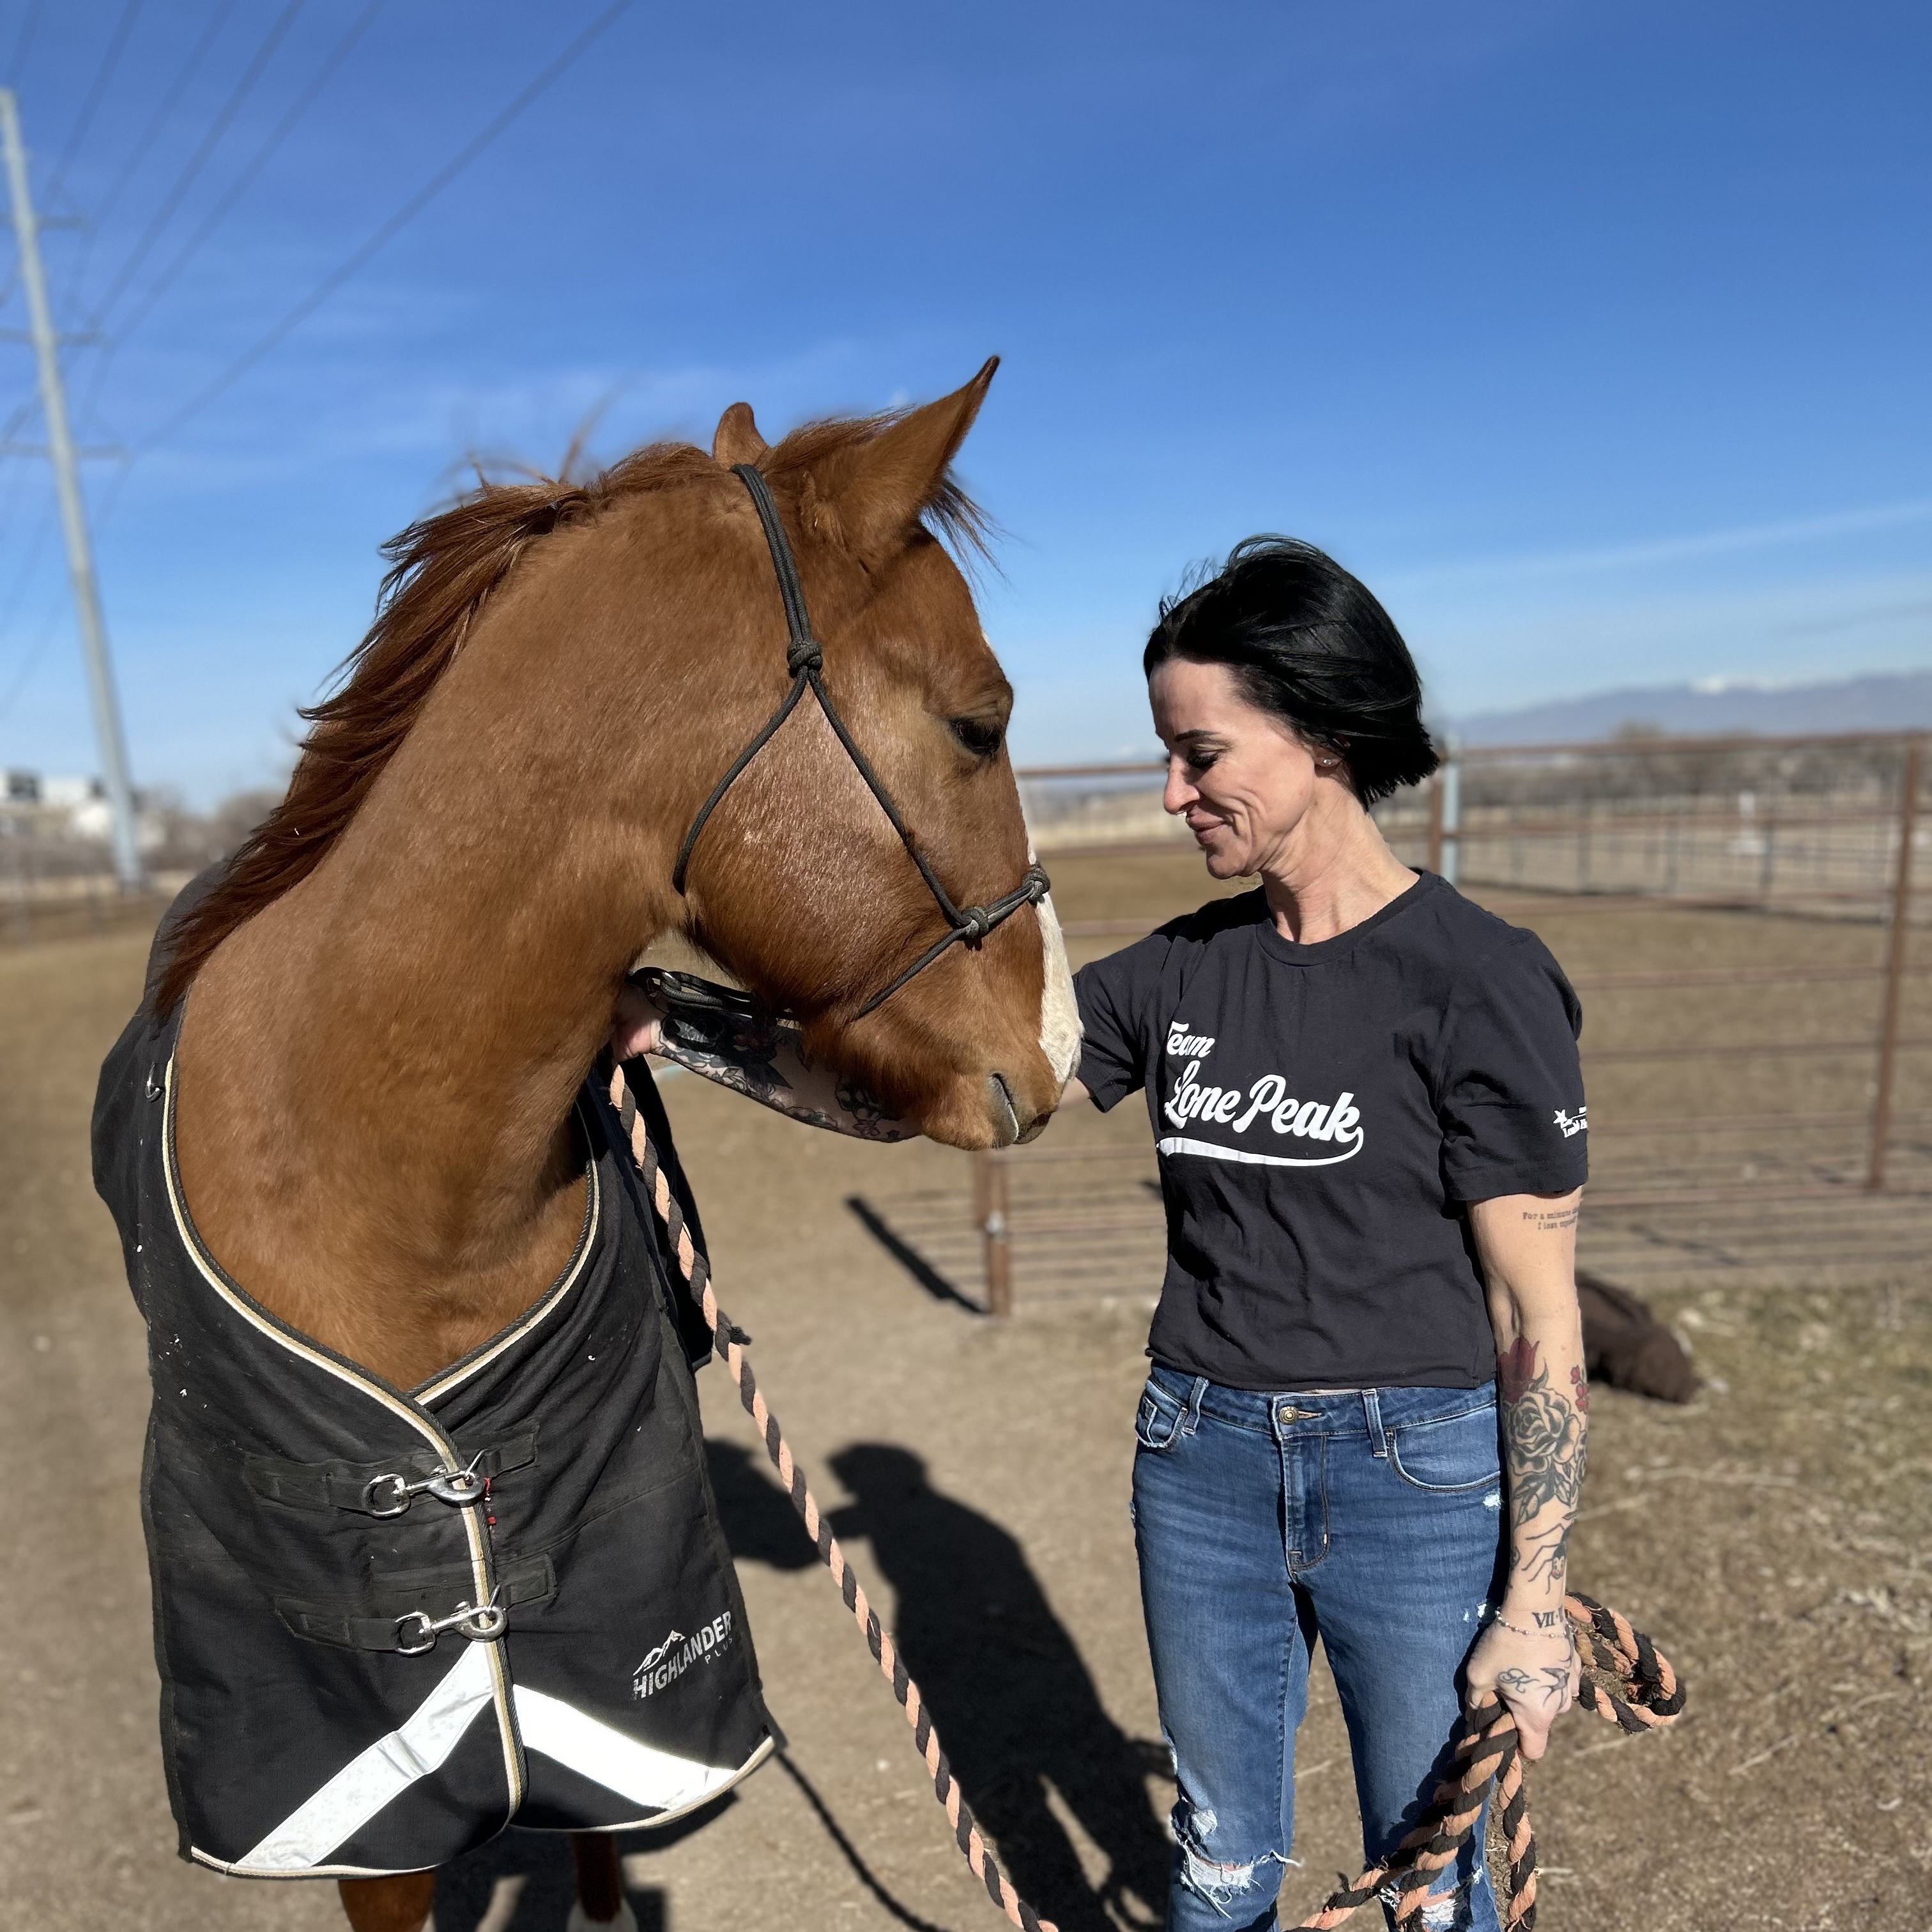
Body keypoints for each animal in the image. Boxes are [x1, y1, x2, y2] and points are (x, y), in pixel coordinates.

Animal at [91, 360, 1080, 1932]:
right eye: (981, 723)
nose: (1060, 1047)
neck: (381, 1181)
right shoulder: (356, 1791)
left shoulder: (625, 1686)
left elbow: (606, 1847)